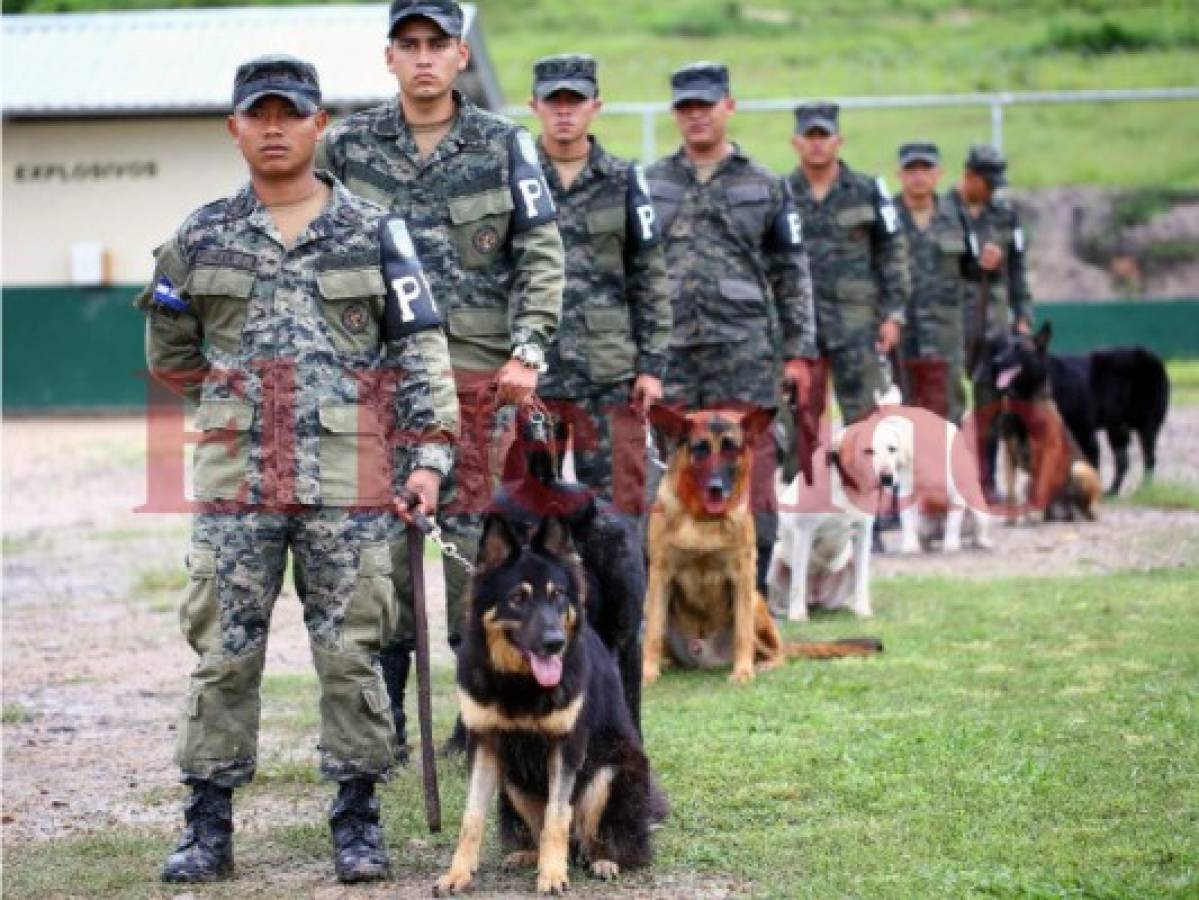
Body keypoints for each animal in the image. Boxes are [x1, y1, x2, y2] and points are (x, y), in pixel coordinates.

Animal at [434, 517, 657, 896]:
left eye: (557, 596)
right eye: (517, 598)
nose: (555, 643)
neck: (520, 684)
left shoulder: (566, 748)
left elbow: (557, 815)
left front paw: (553, 875)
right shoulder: (485, 744)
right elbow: (472, 816)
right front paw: (458, 873)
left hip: (608, 773)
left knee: (596, 838)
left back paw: (602, 861)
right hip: (513, 779)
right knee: (545, 834)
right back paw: (527, 855)